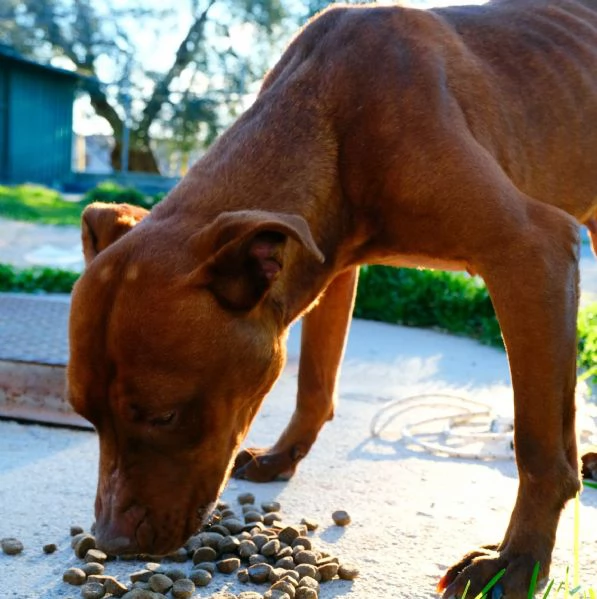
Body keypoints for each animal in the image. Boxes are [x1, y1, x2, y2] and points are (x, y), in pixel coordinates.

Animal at [65, 2, 596, 596]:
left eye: (165, 416)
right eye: (84, 415)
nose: (111, 543)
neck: (330, 110)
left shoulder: (531, 252)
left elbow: (538, 446)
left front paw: (516, 559)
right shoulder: (330, 269)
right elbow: (313, 384)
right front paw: (282, 455)